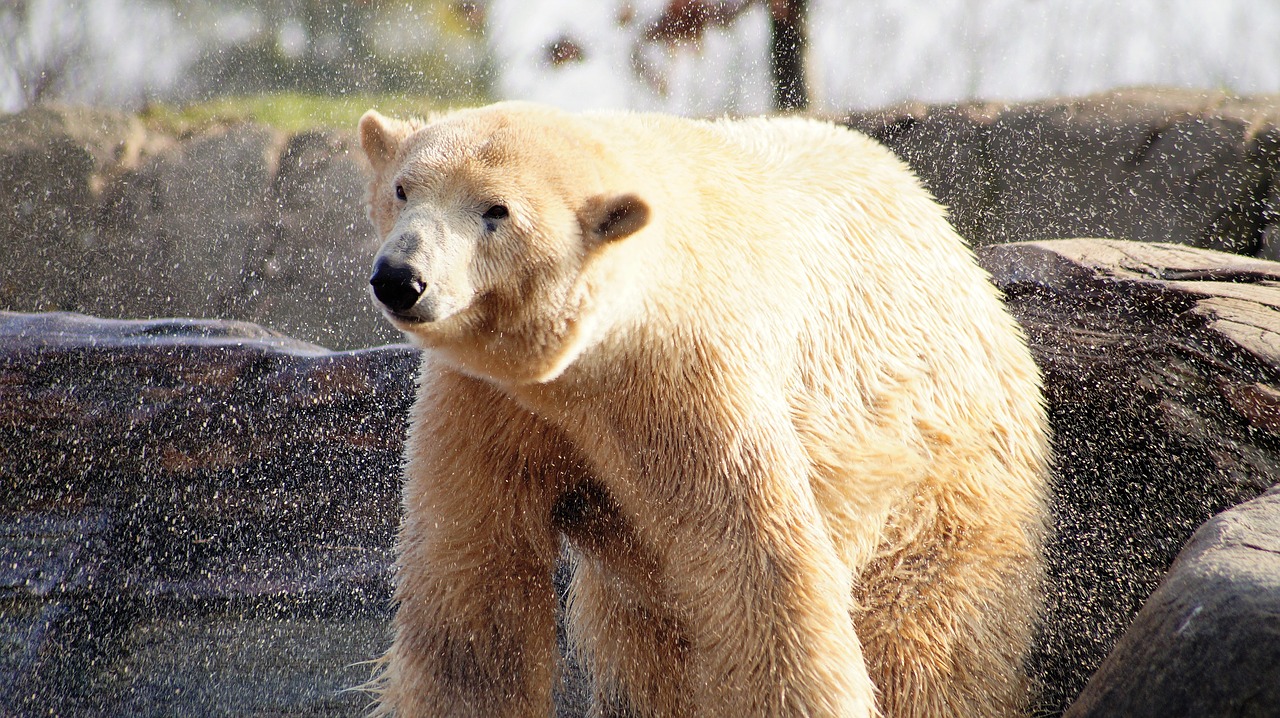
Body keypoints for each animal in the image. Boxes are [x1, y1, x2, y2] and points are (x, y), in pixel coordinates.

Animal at [355, 101, 1044, 716]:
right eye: (402, 189)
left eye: (496, 211)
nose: (400, 277)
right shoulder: (487, 401)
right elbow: (473, 592)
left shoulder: (690, 382)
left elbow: (760, 576)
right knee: (645, 651)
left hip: (944, 489)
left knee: (928, 650)